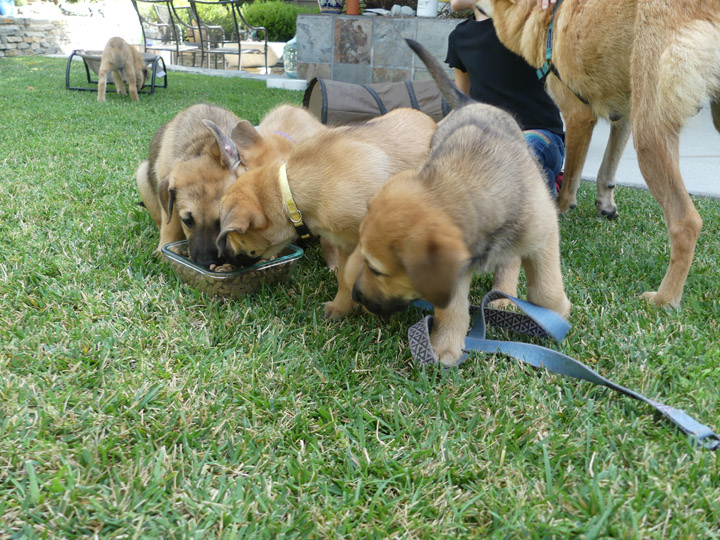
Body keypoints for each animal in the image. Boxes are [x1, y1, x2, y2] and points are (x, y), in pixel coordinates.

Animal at [134, 102, 324, 266]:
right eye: (187, 221)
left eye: (222, 222)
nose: (206, 263)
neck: (202, 143)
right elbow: (170, 223)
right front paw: (165, 251)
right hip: (142, 175)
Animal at [217, 107, 436, 318]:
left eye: (232, 234)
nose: (221, 259)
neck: (290, 193)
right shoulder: (345, 243)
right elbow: (344, 277)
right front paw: (341, 308)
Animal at [346, 39, 572, 368]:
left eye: (377, 270)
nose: (356, 296)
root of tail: (469, 102)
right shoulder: (454, 271)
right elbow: (453, 306)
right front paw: (445, 345)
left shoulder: (543, 233)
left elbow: (546, 286)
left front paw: (554, 314)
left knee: (511, 261)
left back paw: (503, 294)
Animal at [478, 0, 720, 306]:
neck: (546, 19)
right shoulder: (624, 114)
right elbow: (607, 167)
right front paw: (606, 204)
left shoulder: (577, 116)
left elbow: (570, 179)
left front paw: (560, 210)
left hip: (649, 133)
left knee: (686, 222)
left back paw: (664, 299)